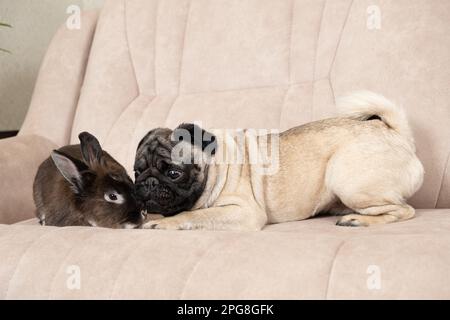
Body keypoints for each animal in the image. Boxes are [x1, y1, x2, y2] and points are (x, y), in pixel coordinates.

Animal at [134, 91, 422, 231]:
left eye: (173, 173)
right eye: (137, 172)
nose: (147, 184)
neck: (217, 166)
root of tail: (396, 133)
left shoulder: (242, 212)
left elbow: (192, 215)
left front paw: (163, 222)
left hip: (347, 179)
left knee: (404, 210)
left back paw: (358, 220)